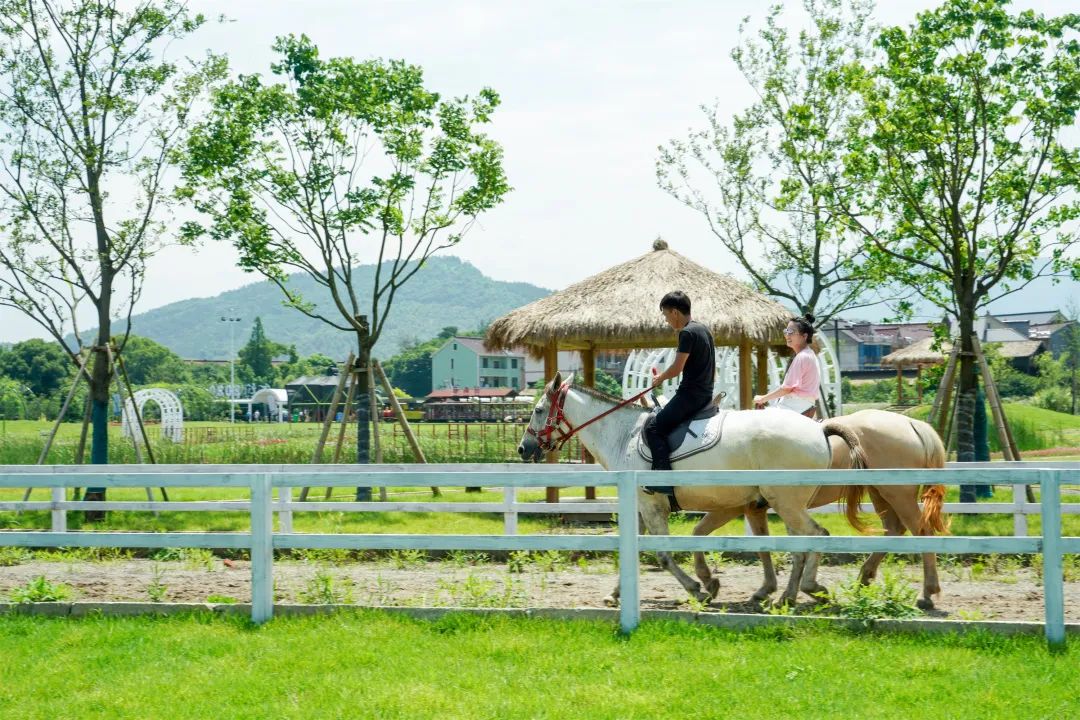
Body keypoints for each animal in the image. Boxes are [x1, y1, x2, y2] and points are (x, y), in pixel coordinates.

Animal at [518, 375, 864, 604]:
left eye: (537, 410)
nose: (523, 449)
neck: (624, 435)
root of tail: (819, 428)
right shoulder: (639, 505)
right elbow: (631, 548)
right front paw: (616, 593)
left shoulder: (652, 505)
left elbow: (663, 555)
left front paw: (697, 588)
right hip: (785, 503)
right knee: (800, 544)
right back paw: (788, 595)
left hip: (786, 502)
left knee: (815, 536)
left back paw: (808, 588)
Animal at [691, 410, 946, 608]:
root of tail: (911, 423)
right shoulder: (756, 508)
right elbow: (767, 548)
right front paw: (775, 592)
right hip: (880, 493)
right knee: (893, 529)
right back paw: (864, 578)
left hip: (898, 494)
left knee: (921, 532)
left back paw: (927, 593)